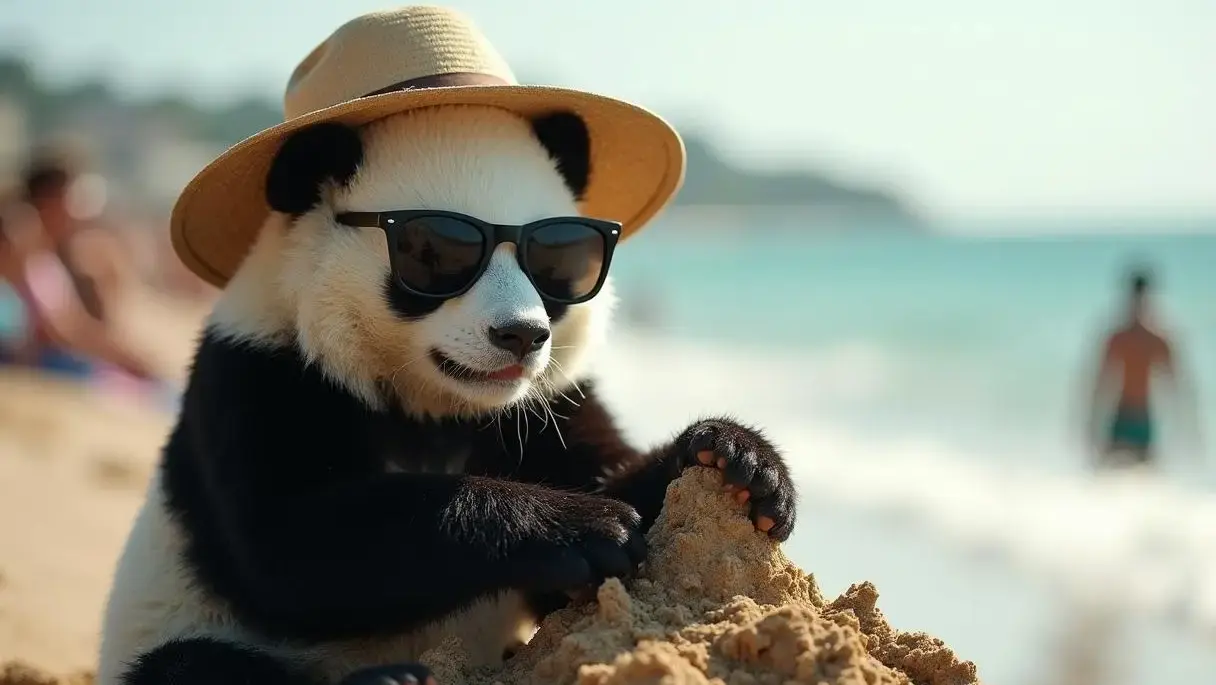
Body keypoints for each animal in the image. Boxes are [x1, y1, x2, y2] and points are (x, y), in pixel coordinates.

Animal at [95, 104, 798, 685]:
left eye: (557, 259)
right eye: (434, 251)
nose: (521, 336)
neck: (435, 402)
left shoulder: (546, 403)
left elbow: (596, 566)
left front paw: (738, 464)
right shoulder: (260, 370)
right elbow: (287, 543)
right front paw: (580, 527)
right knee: (190, 668)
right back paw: (390, 681)